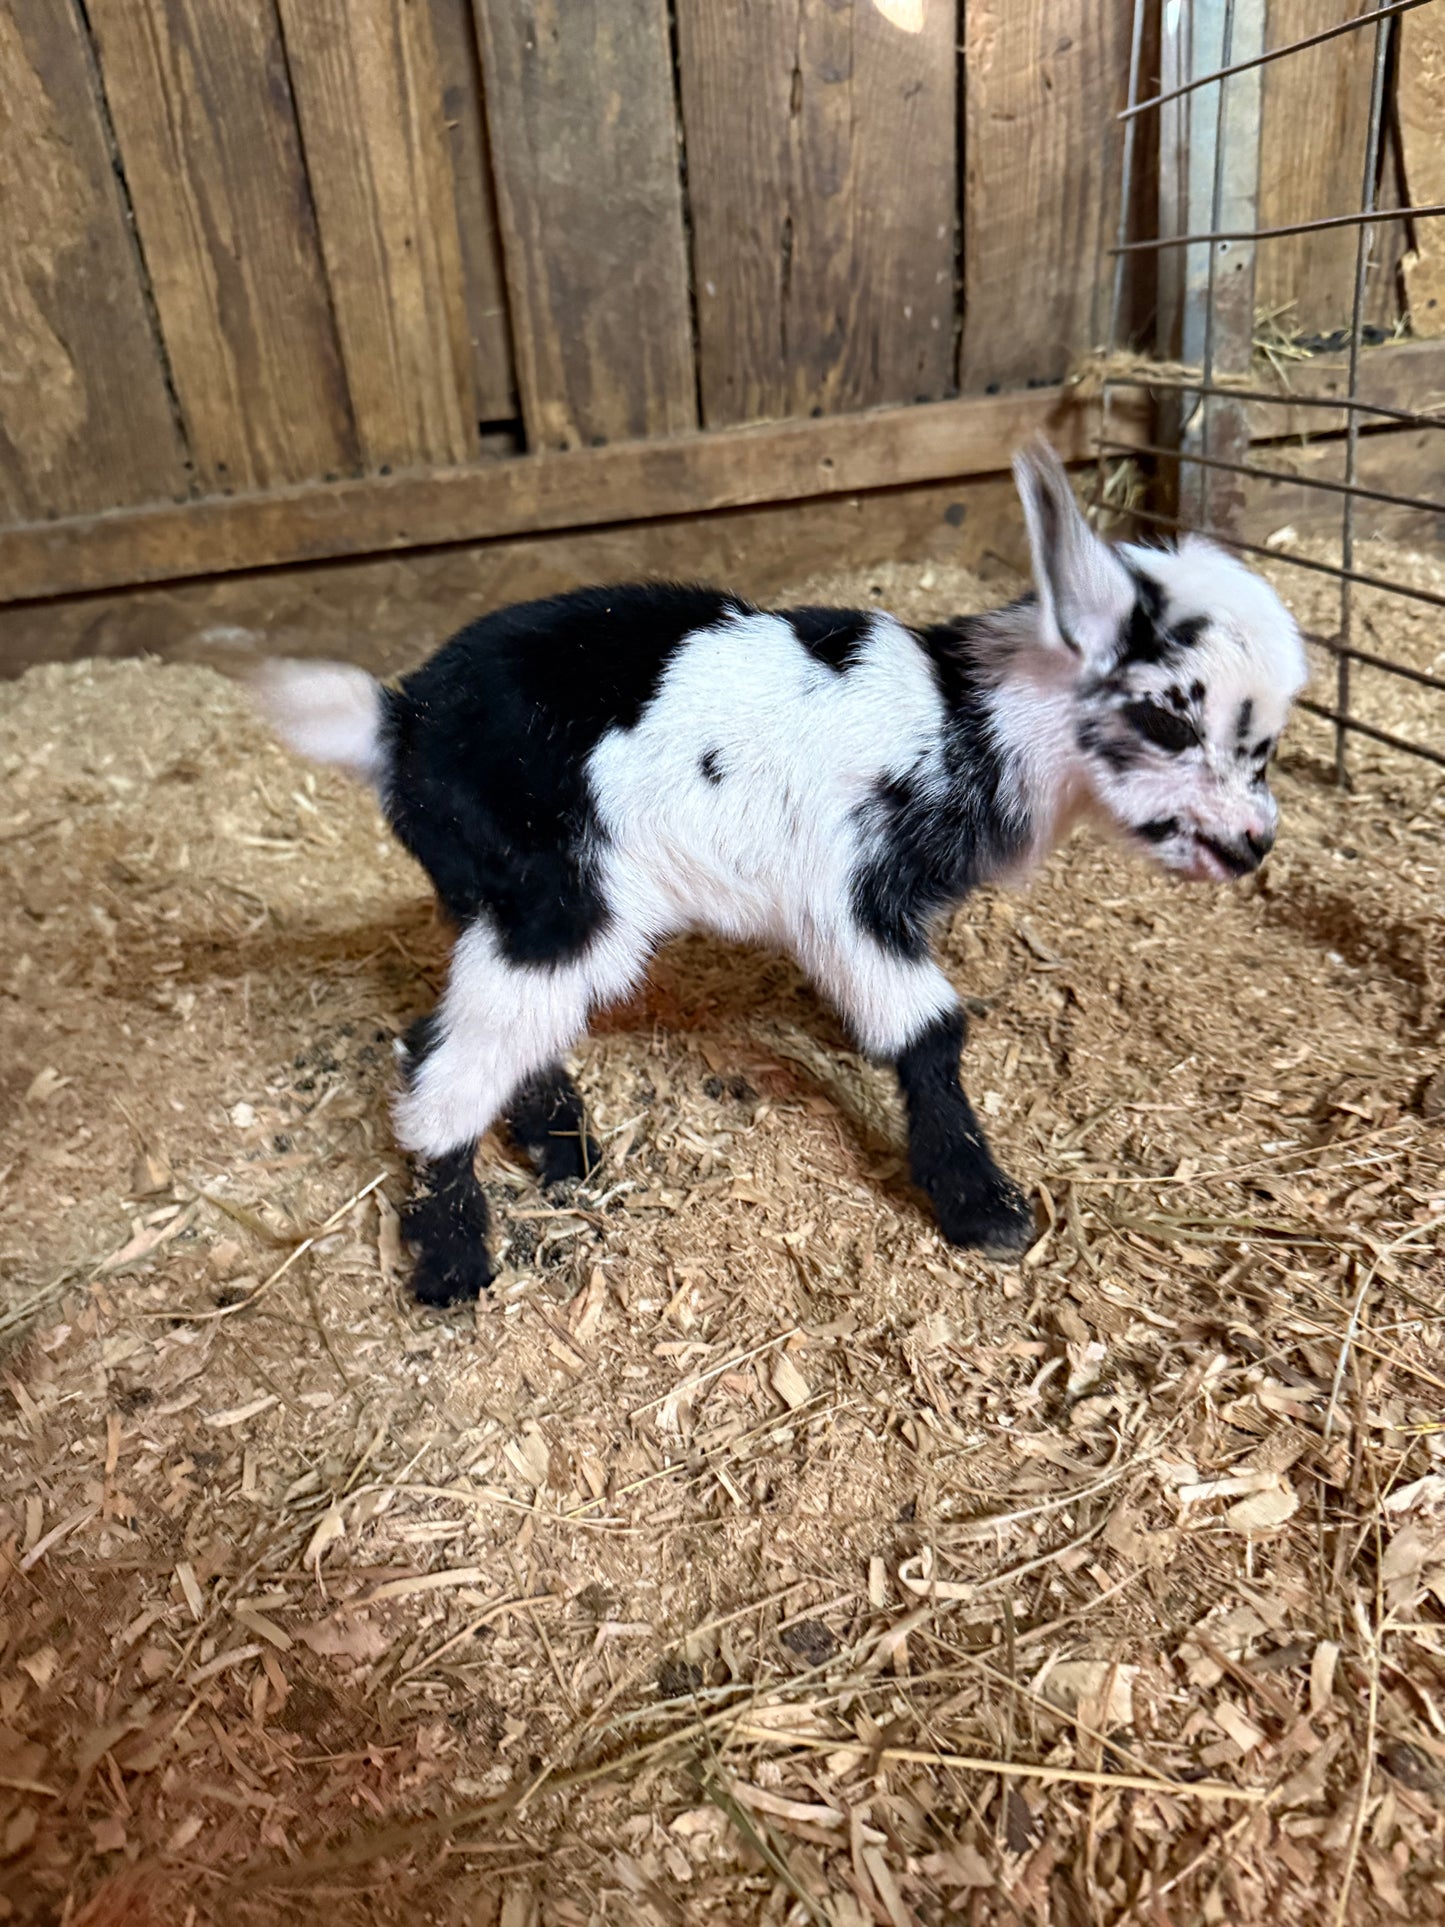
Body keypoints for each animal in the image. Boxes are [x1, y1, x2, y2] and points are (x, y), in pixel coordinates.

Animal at [256, 440, 1307, 1306]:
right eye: (1168, 717)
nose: (1254, 843)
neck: (964, 722)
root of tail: (399, 724)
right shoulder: (848, 895)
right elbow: (929, 1031)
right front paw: (983, 1205)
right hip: (555, 892)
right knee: (439, 1052)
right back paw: (452, 1258)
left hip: (500, 891)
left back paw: (560, 1151)